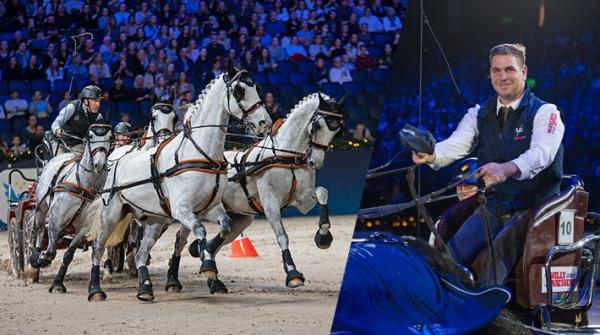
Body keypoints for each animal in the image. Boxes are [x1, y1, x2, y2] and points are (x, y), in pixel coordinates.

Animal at [28, 124, 113, 294]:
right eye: (91, 136)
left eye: (109, 137)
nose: (99, 164)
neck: (85, 186)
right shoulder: (55, 219)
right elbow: (50, 252)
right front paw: (41, 260)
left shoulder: (83, 228)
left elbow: (68, 255)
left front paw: (57, 283)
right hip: (41, 208)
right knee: (39, 230)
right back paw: (35, 258)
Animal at [86, 64, 270, 304]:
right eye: (239, 90)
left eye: (256, 87)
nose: (264, 122)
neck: (197, 152)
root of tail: (114, 160)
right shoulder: (182, 210)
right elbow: (200, 230)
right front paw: (207, 265)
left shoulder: (209, 207)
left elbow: (225, 225)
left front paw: (205, 259)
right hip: (112, 215)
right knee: (99, 247)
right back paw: (95, 289)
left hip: (155, 221)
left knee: (141, 253)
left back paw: (145, 288)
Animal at [164, 92, 344, 294]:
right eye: (318, 125)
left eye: (337, 130)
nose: (316, 161)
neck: (285, 156)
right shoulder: (270, 202)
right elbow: (282, 236)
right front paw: (292, 273)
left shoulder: (303, 200)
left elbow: (322, 193)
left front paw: (323, 236)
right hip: (195, 208)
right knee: (180, 240)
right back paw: (173, 279)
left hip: (240, 218)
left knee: (219, 242)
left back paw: (212, 275)